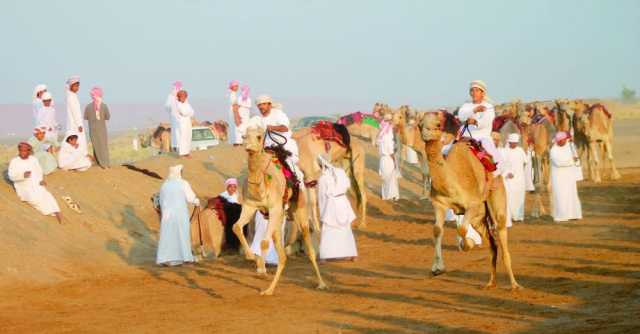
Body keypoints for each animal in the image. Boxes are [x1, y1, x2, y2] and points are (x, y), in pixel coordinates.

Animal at [418, 111, 524, 290]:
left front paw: (467, 244)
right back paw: (490, 283)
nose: (426, 132)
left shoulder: (473, 205)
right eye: (419, 124)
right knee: (492, 244)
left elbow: (461, 229)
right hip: (480, 217)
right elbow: (437, 230)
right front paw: (437, 269)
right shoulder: (439, 204)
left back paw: (515, 285)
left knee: (500, 231)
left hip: (496, 199)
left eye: (438, 124)